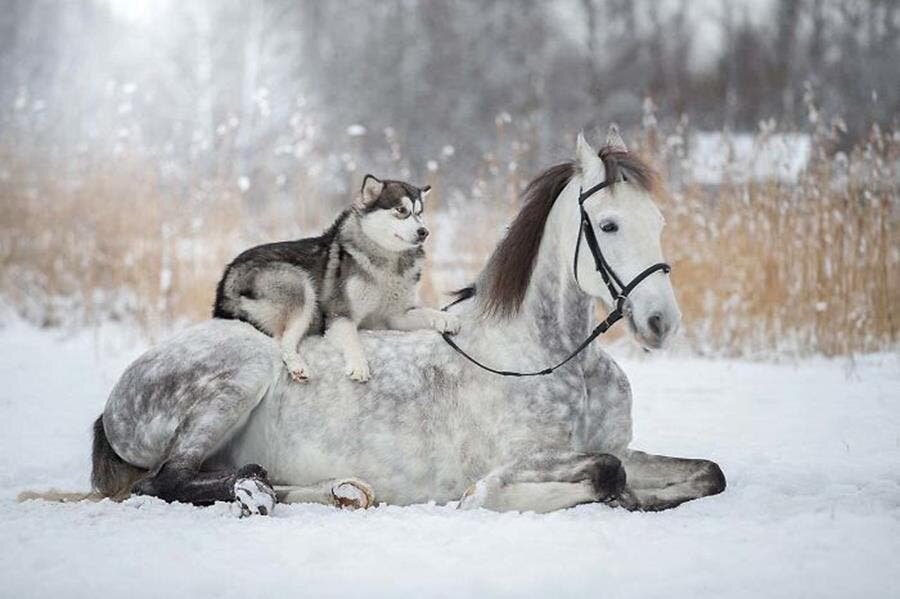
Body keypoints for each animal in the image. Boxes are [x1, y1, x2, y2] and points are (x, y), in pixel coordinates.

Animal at [214, 177, 460, 384]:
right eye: (401, 210)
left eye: (420, 212)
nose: (424, 231)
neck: (387, 261)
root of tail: (226, 280)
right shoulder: (339, 314)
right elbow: (352, 339)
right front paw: (359, 365)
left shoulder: (395, 317)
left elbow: (425, 312)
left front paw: (446, 318)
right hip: (300, 286)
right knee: (283, 340)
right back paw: (298, 366)